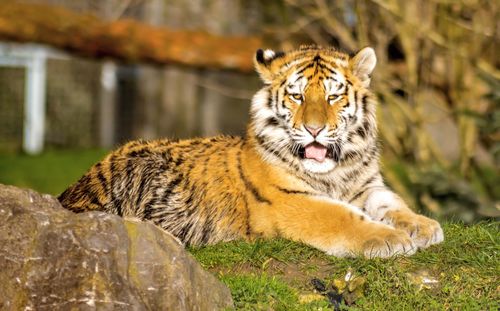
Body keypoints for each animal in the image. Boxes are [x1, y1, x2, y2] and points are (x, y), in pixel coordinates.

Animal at [56, 44, 444, 258]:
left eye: (333, 96)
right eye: (297, 96)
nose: (314, 129)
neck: (334, 172)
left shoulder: (366, 186)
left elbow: (392, 202)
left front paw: (424, 226)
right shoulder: (290, 200)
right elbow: (342, 217)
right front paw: (391, 239)